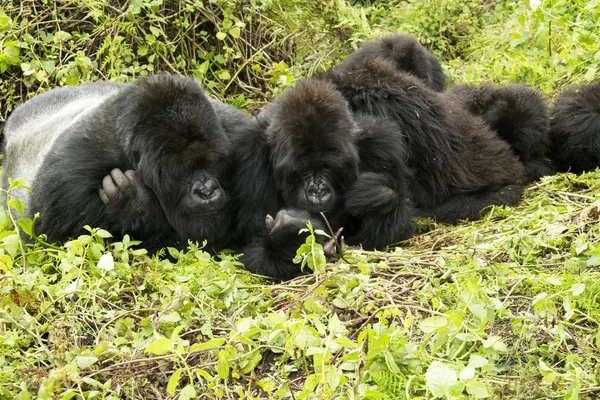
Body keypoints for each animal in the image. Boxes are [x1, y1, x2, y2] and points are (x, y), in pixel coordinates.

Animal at [1, 73, 239, 252]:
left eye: (213, 163)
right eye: (183, 172)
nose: (207, 191)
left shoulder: (234, 130)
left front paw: (131, 200)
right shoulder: (67, 176)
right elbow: (62, 240)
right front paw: (134, 201)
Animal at [227, 79, 414, 282]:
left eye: (327, 168)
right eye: (305, 170)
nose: (318, 192)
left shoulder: (382, 143)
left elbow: (398, 231)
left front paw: (378, 194)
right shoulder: (251, 153)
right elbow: (251, 246)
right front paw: (290, 233)